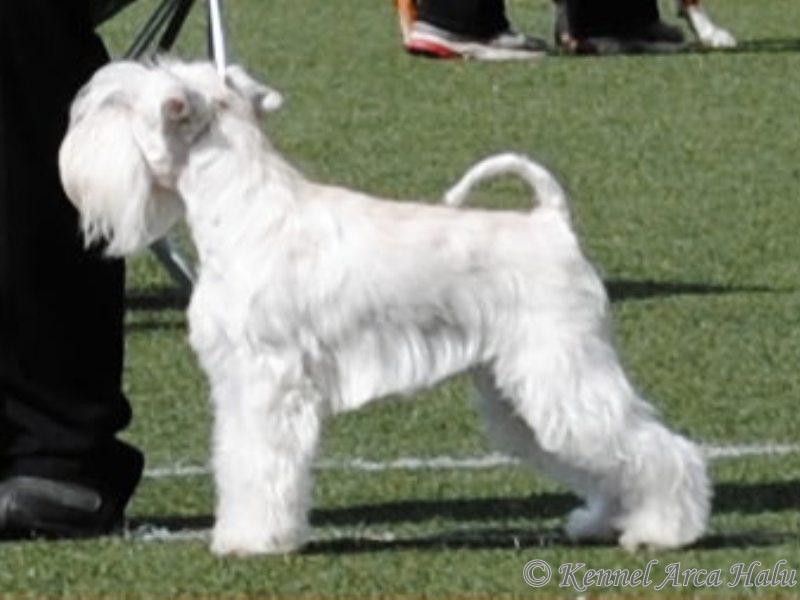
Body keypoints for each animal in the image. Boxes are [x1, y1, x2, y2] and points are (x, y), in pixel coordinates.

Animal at [59, 59, 710, 555]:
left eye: (120, 105)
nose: (71, 149)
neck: (242, 207)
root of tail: (551, 223)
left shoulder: (270, 383)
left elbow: (262, 464)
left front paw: (253, 540)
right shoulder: (238, 385)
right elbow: (236, 459)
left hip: (563, 371)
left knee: (661, 449)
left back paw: (663, 530)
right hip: (521, 392)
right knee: (605, 457)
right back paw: (601, 520)